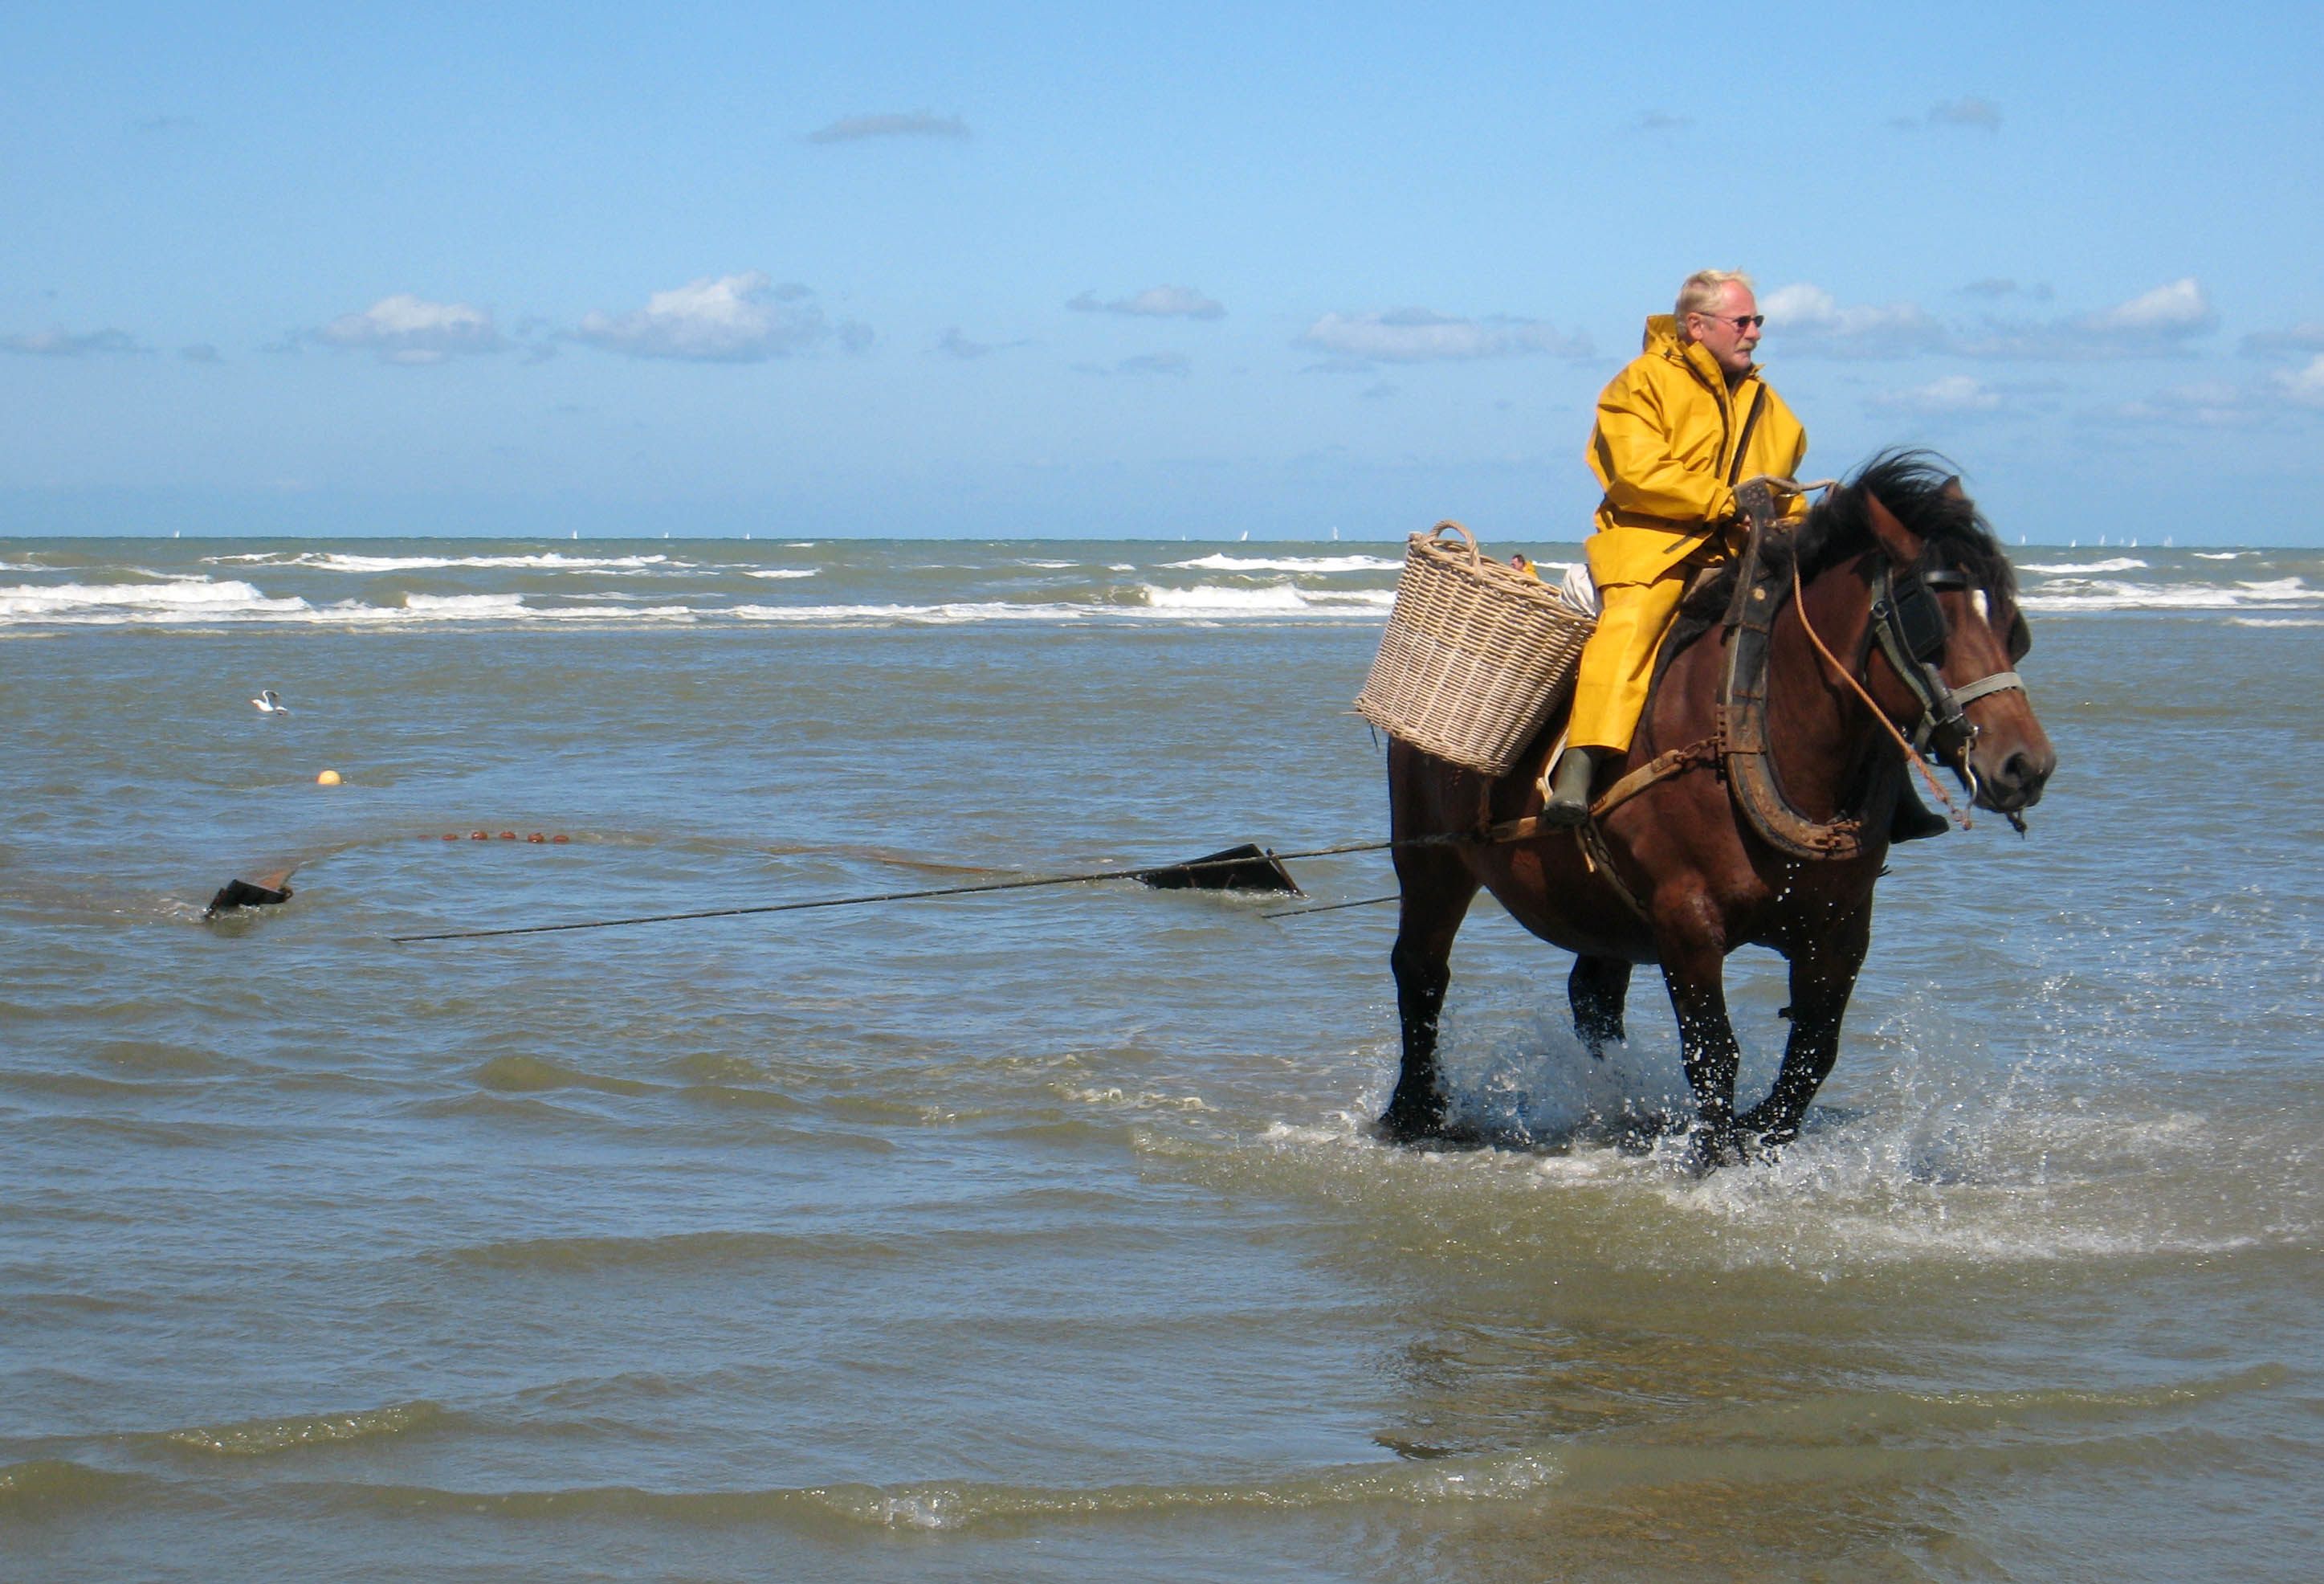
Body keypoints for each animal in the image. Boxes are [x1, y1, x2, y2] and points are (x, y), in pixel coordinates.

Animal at [1376, 451, 2054, 1167]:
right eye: (1932, 625)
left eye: (2012, 627)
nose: (2025, 765)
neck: (1751, 731)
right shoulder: (1687, 922)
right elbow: (1713, 1055)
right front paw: (1715, 1155)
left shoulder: (1840, 929)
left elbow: (1813, 1055)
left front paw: (1759, 1135)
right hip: (1432, 864)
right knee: (1421, 972)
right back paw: (1415, 1112)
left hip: (1598, 904)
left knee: (1594, 997)